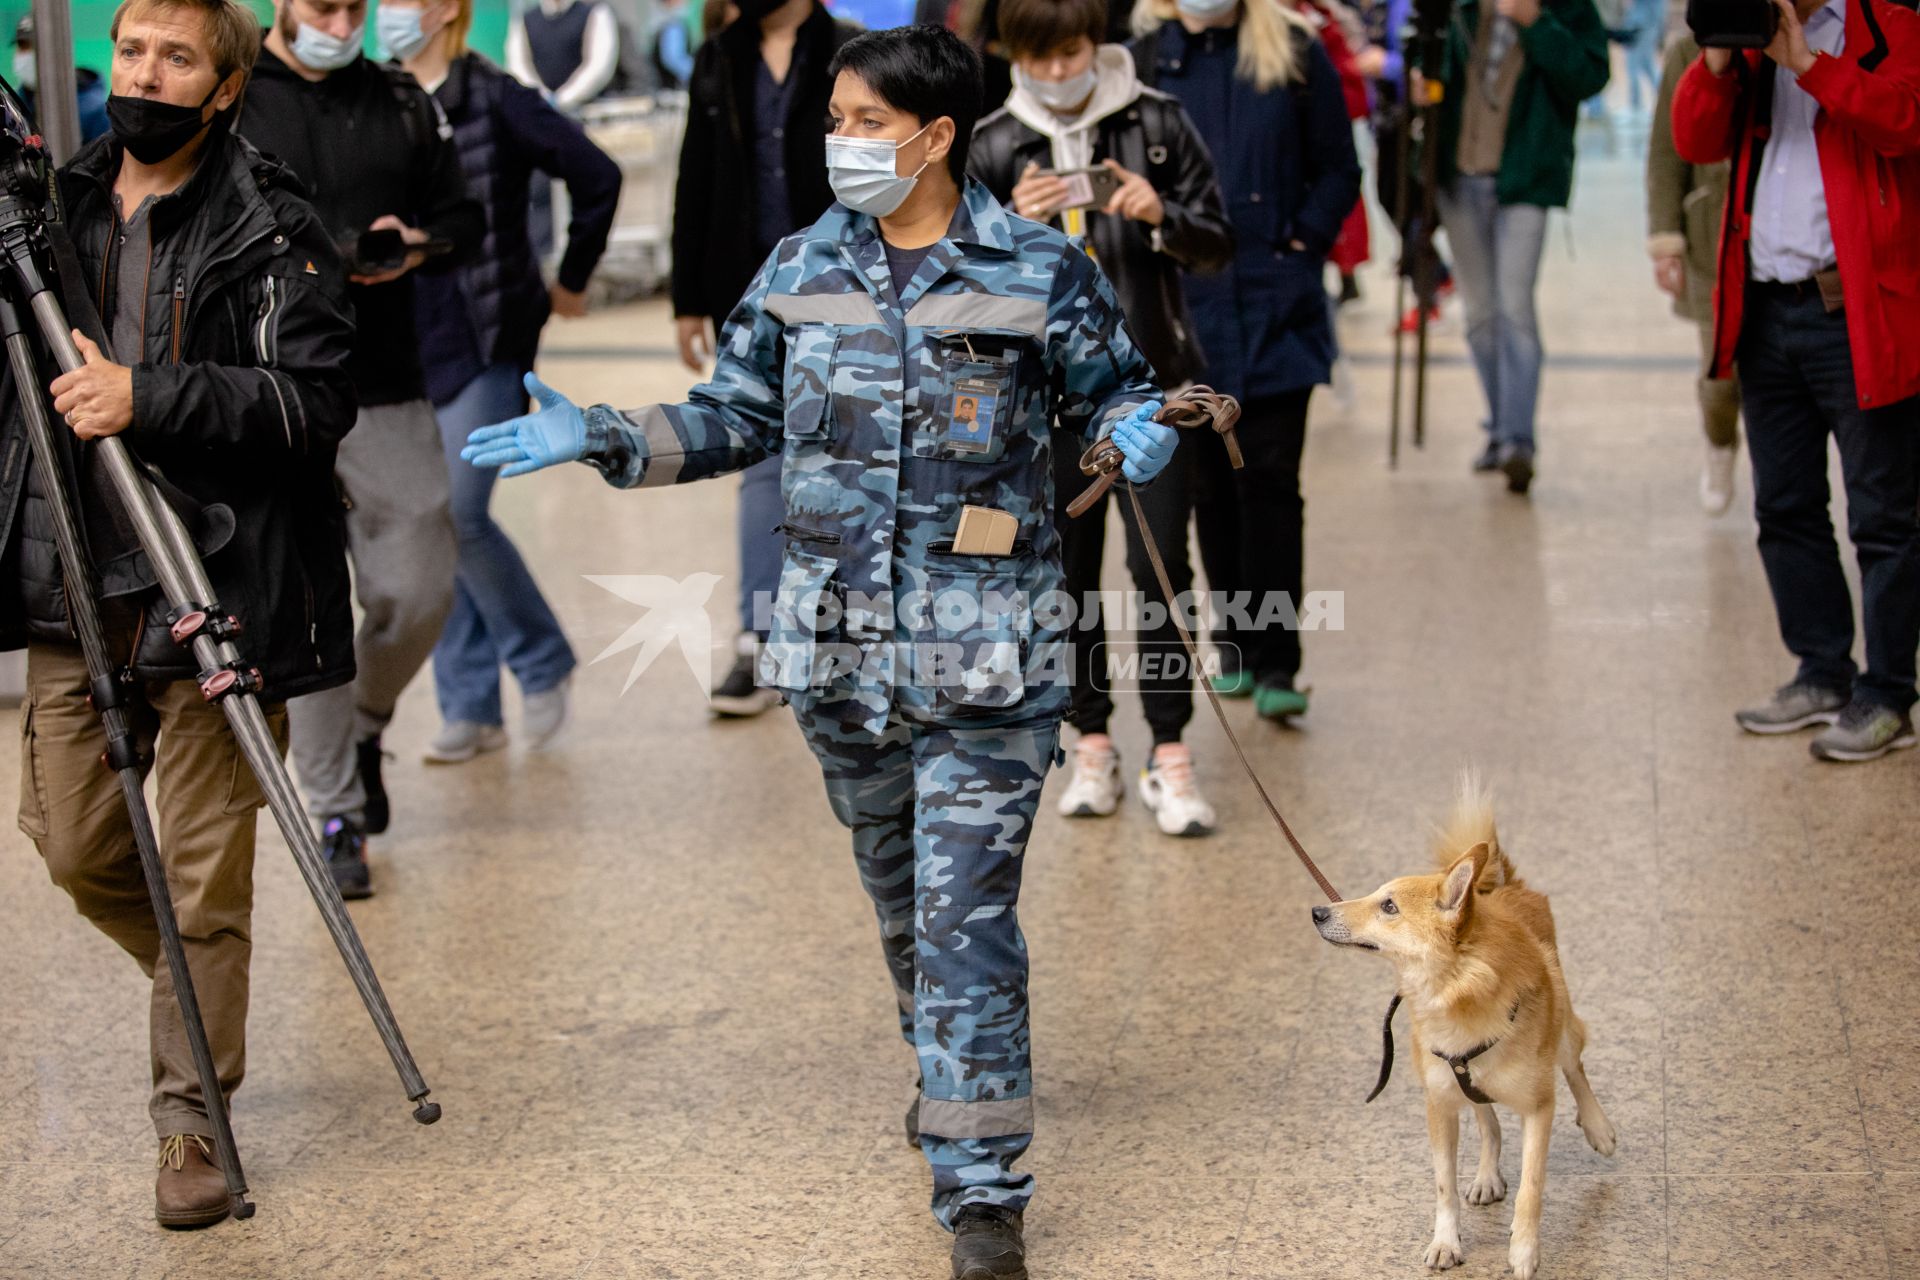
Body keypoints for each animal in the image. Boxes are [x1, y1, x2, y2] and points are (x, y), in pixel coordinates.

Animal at [1313, 782, 1612, 1280]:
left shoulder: (1539, 1108)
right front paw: (1446, 1241)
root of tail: (1501, 885)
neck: (1457, 986)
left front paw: (1524, 1250)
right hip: (1460, 1085)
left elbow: (1532, 1186)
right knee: (1487, 1120)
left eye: (1389, 906)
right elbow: (1443, 1185)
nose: (1318, 911)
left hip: (1564, 1029)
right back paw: (1488, 1173)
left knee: (1575, 1068)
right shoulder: (1439, 1104)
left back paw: (1597, 1124)